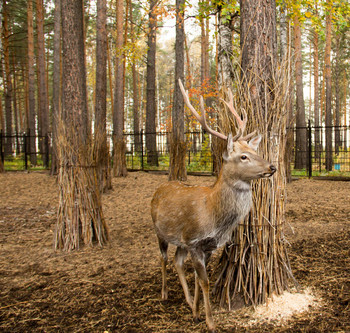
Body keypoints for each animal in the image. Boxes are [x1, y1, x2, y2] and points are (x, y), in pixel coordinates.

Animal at [150, 79, 276, 330]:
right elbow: (205, 282)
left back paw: (189, 301)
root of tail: (159, 188)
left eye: (254, 150)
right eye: (243, 157)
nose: (272, 167)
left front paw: (196, 312)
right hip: (159, 231)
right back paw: (165, 293)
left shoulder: (205, 246)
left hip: (180, 241)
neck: (215, 218)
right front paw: (210, 322)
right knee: (163, 258)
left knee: (178, 262)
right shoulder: (194, 242)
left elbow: (200, 280)